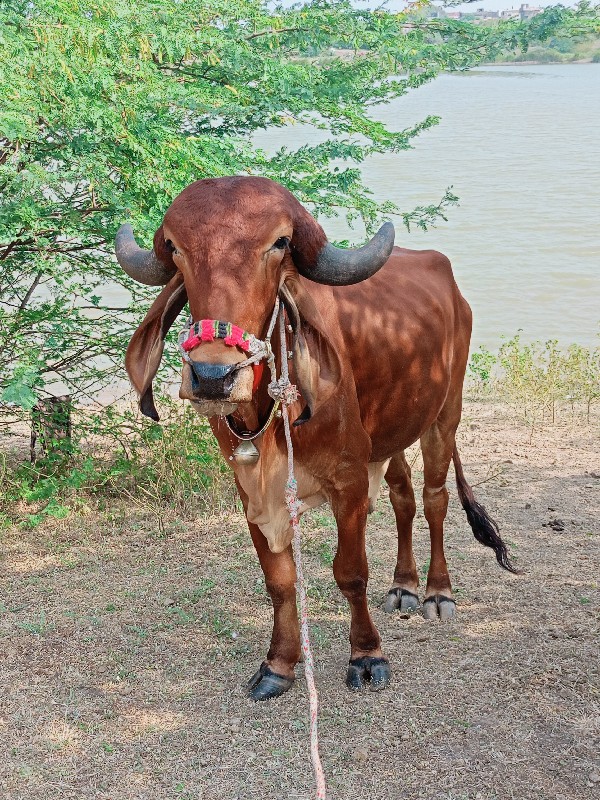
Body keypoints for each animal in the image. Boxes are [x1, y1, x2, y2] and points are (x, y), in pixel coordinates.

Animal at [117, 177, 516, 700]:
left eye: (279, 244)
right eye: (176, 248)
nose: (212, 376)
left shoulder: (348, 482)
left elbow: (350, 572)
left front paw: (367, 657)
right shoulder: (251, 492)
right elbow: (280, 581)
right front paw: (279, 665)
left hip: (445, 416)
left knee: (434, 498)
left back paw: (436, 591)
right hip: (391, 434)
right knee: (404, 495)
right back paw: (404, 585)